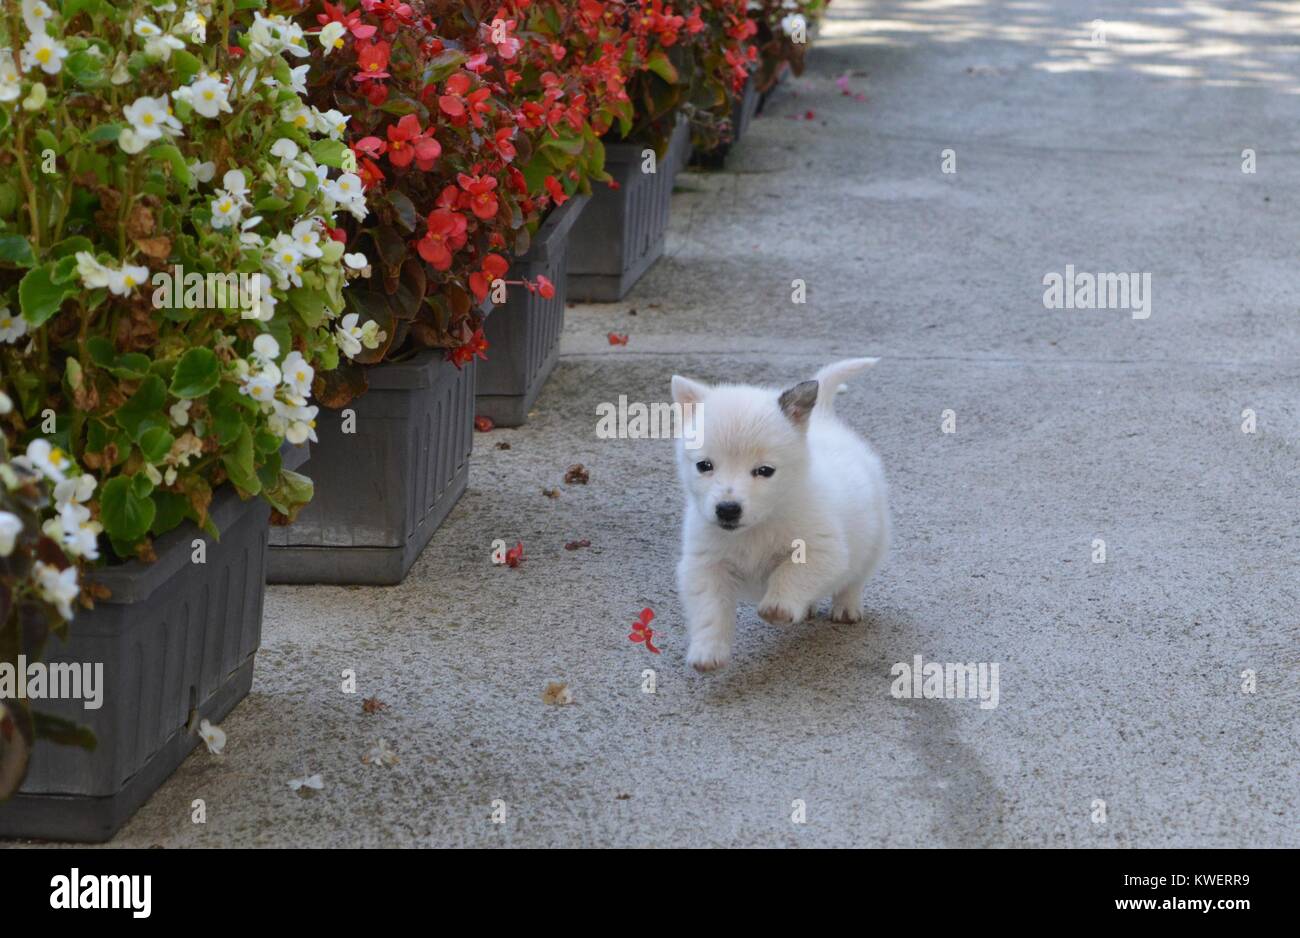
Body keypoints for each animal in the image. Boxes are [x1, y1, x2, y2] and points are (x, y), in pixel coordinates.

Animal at [670, 361, 894, 670]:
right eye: (704, 465)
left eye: (765, 471)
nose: (727, 509)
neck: (757, 528)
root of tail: (823, 417)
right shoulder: (704, 564)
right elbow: (710, 610)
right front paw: (707, 651)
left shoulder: (823, 550)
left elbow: (790, 572)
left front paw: (777, 606)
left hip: (874, 542)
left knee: (853, 580)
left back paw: (846, 608)